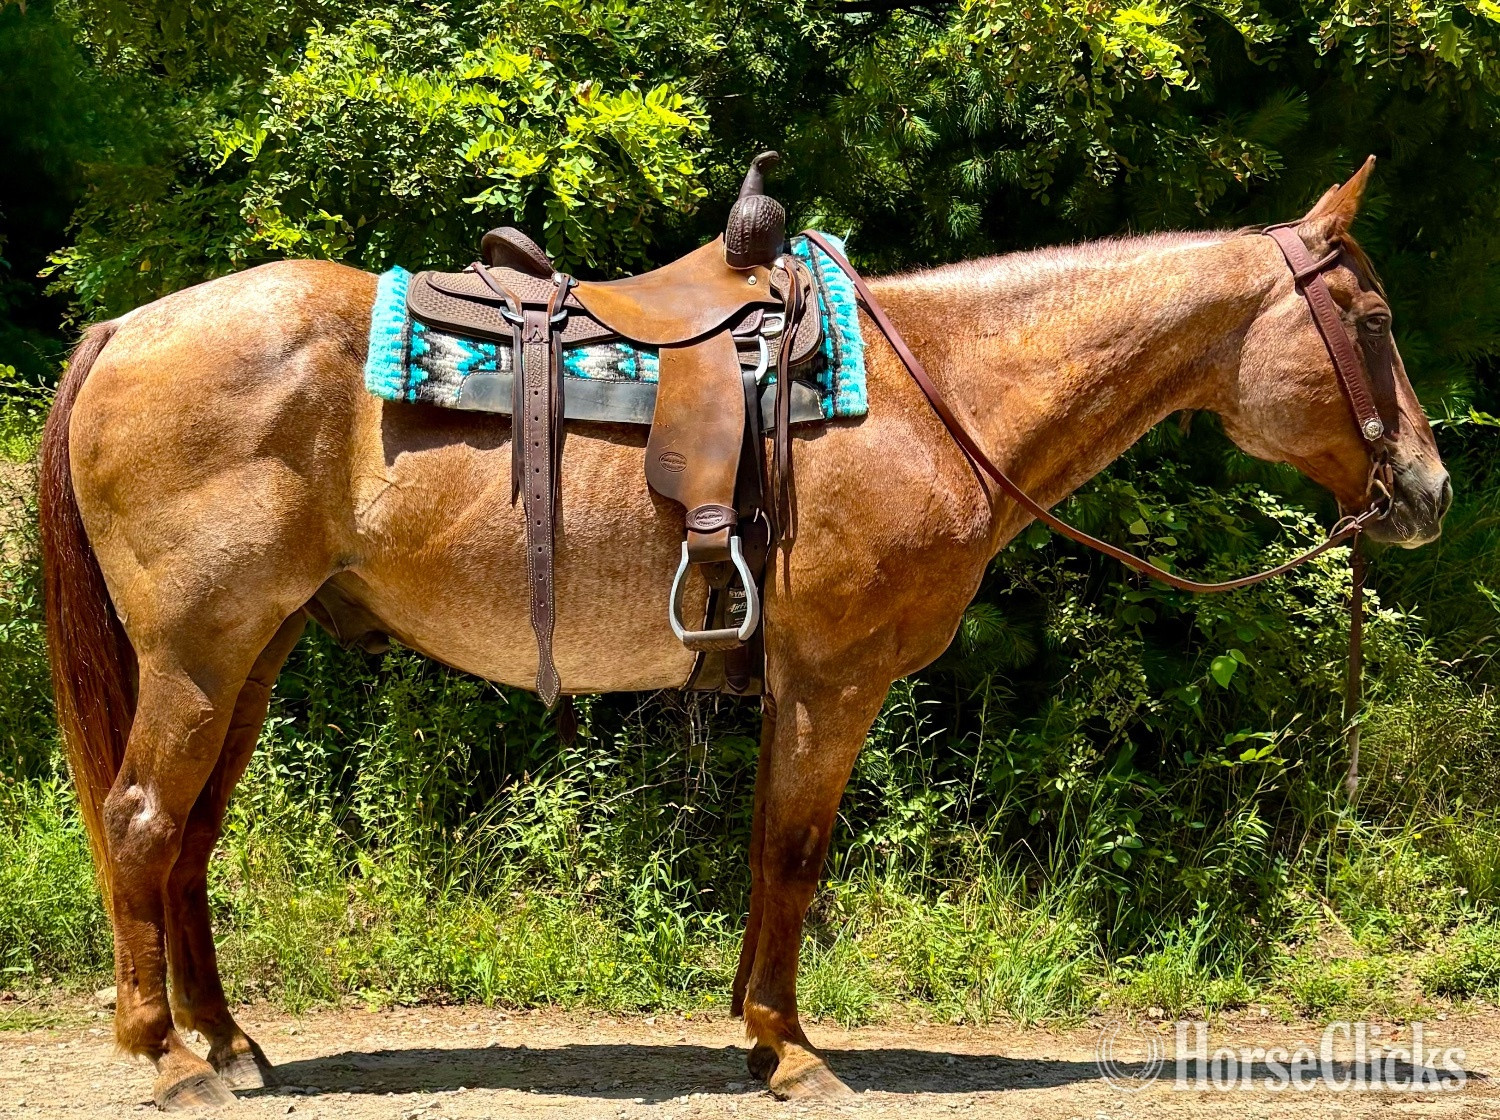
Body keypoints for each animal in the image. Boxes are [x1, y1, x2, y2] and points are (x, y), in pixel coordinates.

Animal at [38, 161, 1449, 1109]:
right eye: (1375, 325)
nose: (1431, 491)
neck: (940, 390)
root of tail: (125, 331)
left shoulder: (796, 681)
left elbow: (776, 850)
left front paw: (755, 1027)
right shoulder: (832, 678)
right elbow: (794, 851)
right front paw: (788, 1046)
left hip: (253, 651)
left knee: (188, 839)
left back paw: (229, 1043)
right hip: (200, 654)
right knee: (143, 823)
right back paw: (166, 1059)